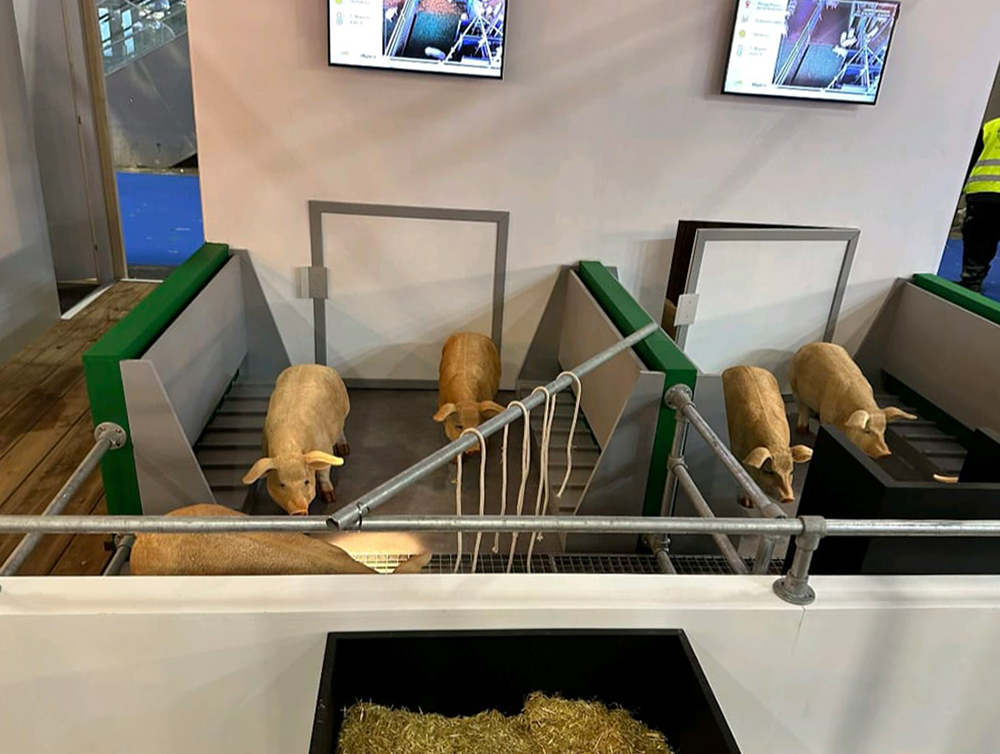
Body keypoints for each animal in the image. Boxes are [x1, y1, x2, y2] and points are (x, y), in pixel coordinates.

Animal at [242, 364, 351, 515]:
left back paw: (345, 450)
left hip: (345, 407)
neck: (289, 449)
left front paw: (330, 498)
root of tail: (312, 365)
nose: (299, 511)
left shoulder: (325, 448)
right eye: (282, 484)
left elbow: (323, 473)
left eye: (306, 481)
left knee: (341, 430)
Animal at [722, 366, 813, 504]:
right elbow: (745, 477)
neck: (774, 445)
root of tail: (740, 366)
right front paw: (747, 504)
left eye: (791, 471)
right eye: (768, 471)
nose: (788, 498)